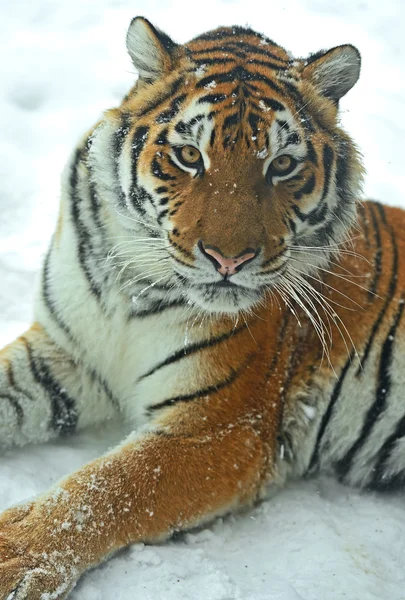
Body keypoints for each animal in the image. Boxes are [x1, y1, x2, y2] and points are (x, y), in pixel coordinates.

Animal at [0, 12, 404, 596]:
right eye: (190, 156)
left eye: (283, 164)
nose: (228, 259)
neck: (133, 284)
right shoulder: (65, 354)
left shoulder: (218, 425)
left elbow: (107, 487)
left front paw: (12, 554)